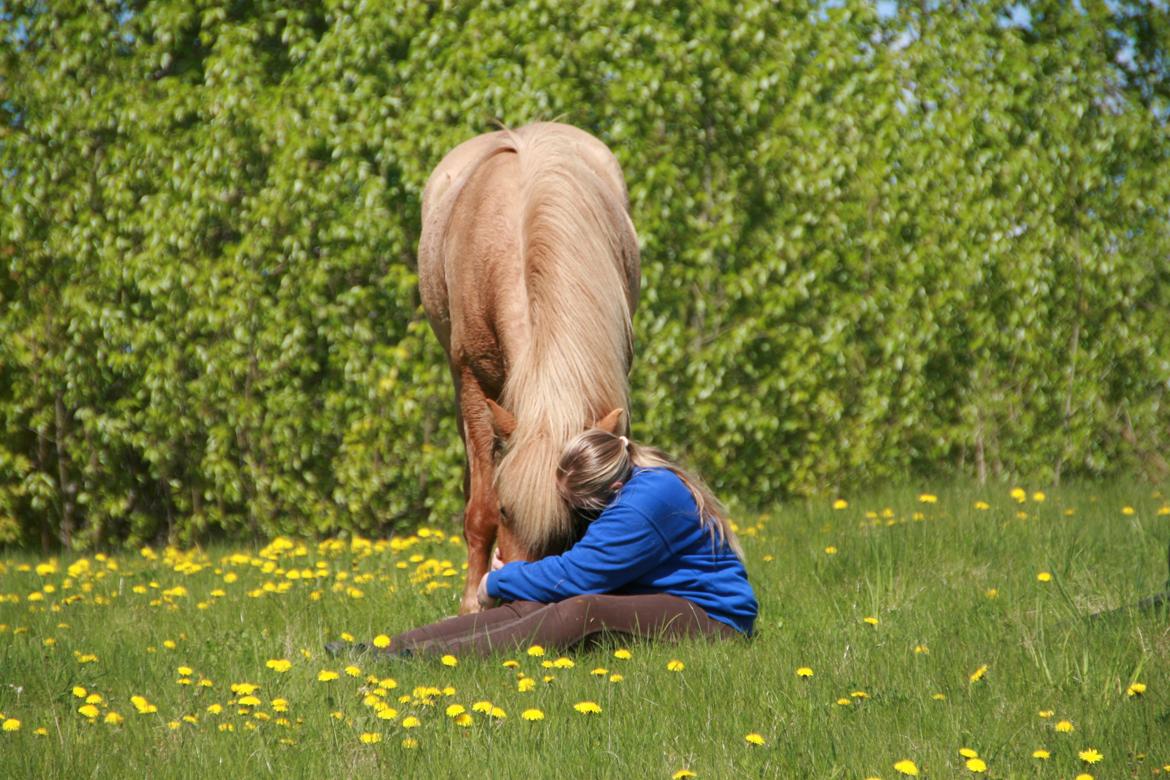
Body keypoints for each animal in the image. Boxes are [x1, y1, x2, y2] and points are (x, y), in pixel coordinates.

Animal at [418, 122, 641, 612]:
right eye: (507, 510)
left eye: (573, 518)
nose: (514, 598)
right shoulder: (473, 384)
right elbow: (479, 509)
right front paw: (471, 604)